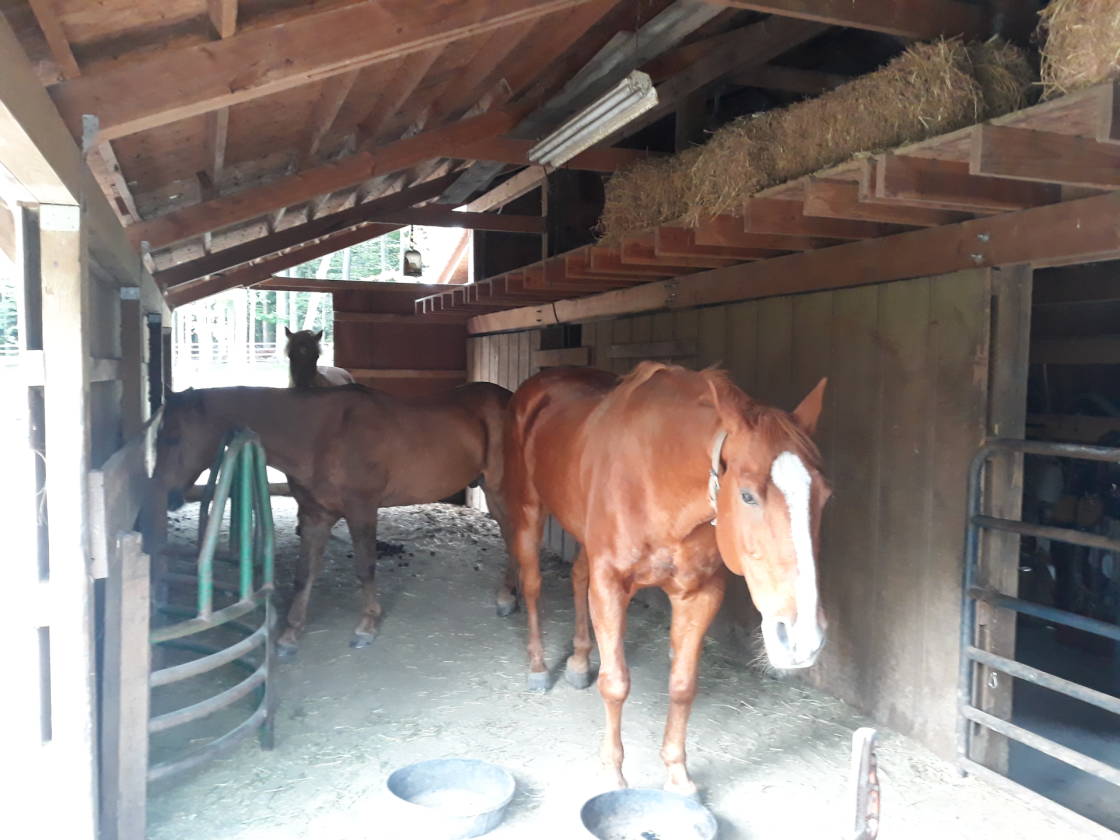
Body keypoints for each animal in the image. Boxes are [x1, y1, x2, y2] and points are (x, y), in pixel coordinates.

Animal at [152, 382, 513, 657]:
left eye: (173, 438)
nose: (163, 496)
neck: (322, 434)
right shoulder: (315, 516)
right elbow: (304, 574)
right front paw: (289, 635)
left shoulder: (361, 509)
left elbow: (365, 567)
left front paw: (366, 626)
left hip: (499, 490)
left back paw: (507, 598)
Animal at [501, 362, 830, 795]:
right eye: (747, 495)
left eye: (825, 495)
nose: (802, 639)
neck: (657, 480)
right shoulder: (611, 585)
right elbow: (616, 683)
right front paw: (613, 774)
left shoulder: (700, 593)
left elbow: (682, 686)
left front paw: (677, 775)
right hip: (528, 508)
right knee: (533, 584)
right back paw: (539, 667)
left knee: (577, 576)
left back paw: (579, 662)